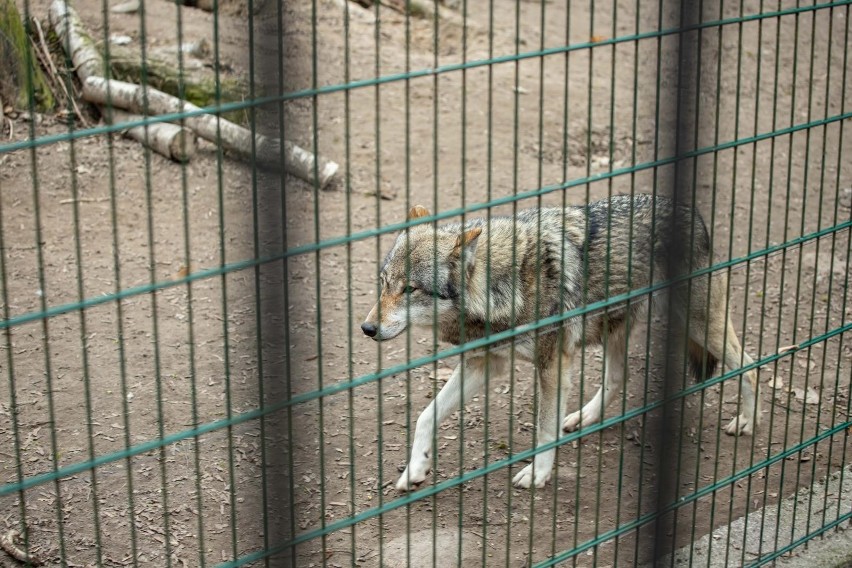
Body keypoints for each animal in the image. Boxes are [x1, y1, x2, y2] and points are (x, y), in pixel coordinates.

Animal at [362, 194, 764, 488]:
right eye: (383, 283)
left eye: (410, 289)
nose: (367, 328)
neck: (504, 285)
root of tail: (690, 209)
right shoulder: (485, 364)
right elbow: (425, 416)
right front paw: (415, 469)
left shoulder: (551, 365)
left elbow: (544, 428)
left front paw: (538, 473)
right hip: (614, 330)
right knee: (617, 378)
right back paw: (583, 417)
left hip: (699, 326)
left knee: (749, 364)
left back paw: (747, 420)